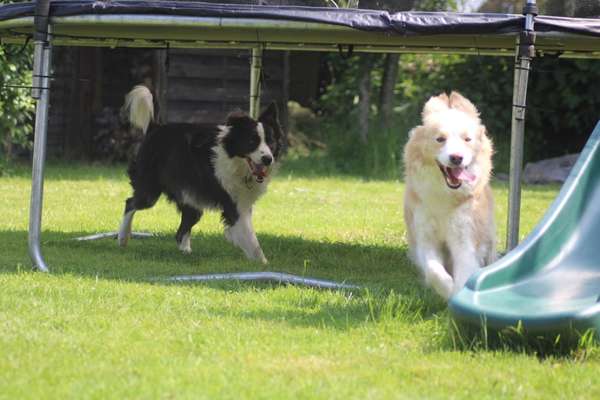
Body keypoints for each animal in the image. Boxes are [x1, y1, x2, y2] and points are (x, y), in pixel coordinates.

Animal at [118, 85, 288, 262]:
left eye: (271, 141)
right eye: (252, 142)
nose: (268, 159)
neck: (234, 158)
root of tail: (155, 127)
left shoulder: (243, 201)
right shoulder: (233, 204)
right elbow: (251, 238)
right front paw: (263, 263)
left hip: (191, 197)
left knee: (181, 230)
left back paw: (186, 252)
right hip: (149, 191)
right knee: (130, 203)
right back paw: (123, 238)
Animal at [404, 92, 496, 300]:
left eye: (467, 139)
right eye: (440, 139)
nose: (456, 158)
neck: (445, 199)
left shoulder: (465, 240)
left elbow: (464, 273)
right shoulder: (425, 239)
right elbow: (433, 271)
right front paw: (447, 290)